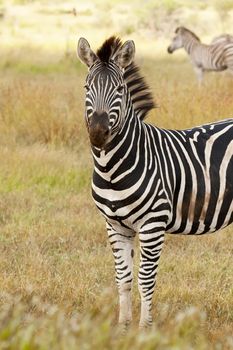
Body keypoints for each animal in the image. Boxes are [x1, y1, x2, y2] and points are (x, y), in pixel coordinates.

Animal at [77, 35, 233, 330]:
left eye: (119, 88)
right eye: (86, 87)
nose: (98, 133)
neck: (111, 167)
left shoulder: (153, 224)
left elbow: (145, 280)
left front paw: (144, 330)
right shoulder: (115, 226)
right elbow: (124, 279)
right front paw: (123, 328)